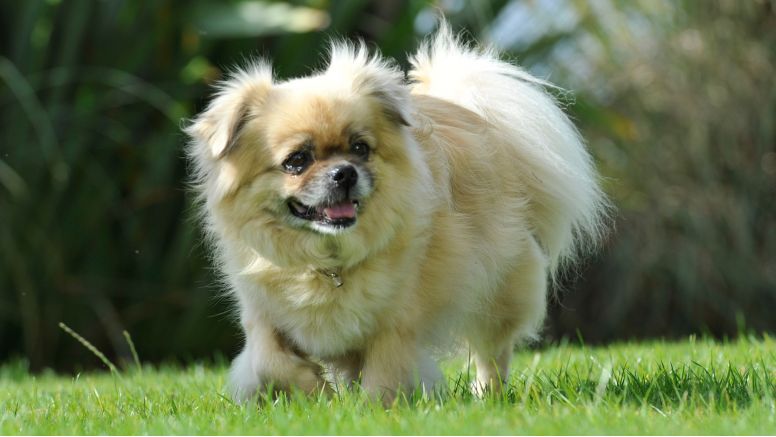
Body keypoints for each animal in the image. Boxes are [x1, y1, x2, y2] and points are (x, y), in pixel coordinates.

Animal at [185, 25, 608, 404]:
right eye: (297, 161)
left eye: (360, 148)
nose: (344, 172)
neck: (326, 261)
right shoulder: (262, 317)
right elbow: (270, 361)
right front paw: (315, 392)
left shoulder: (394, 324)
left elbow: (385, 376)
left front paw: (374, 411)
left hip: (496, 293)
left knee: (492, 353)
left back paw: (486, 396)